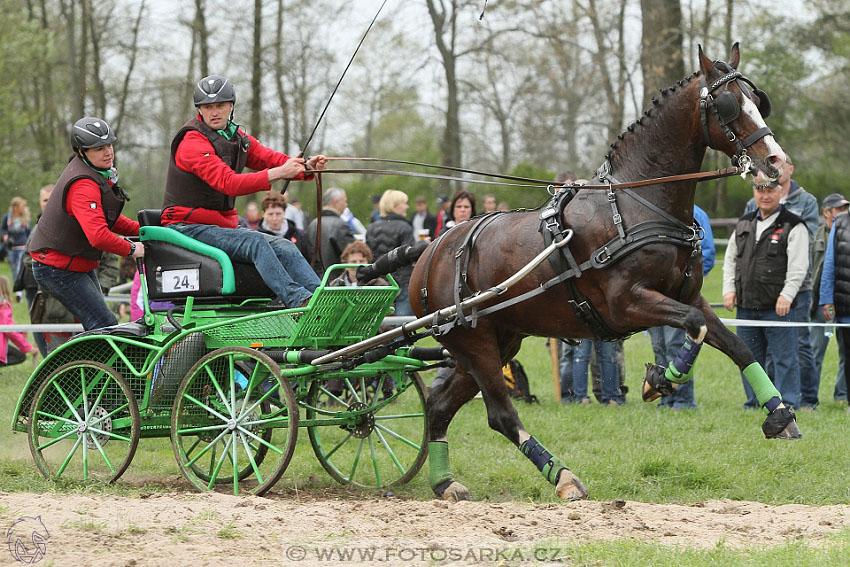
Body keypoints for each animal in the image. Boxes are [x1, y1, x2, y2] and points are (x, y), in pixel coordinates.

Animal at [408, 44, 792, 502]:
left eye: (758, 101)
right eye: (728, 104)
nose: (777, 162)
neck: (636, 203)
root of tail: (430, 252)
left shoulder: (687, 295)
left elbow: (735, 345)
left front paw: (779, 414)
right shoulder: (626, 304)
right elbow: (695, 327)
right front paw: (662, 379)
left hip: (496, 343)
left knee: (439, 406)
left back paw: (445, 482)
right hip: (477, 344)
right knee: (500, 414)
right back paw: (563, 476)